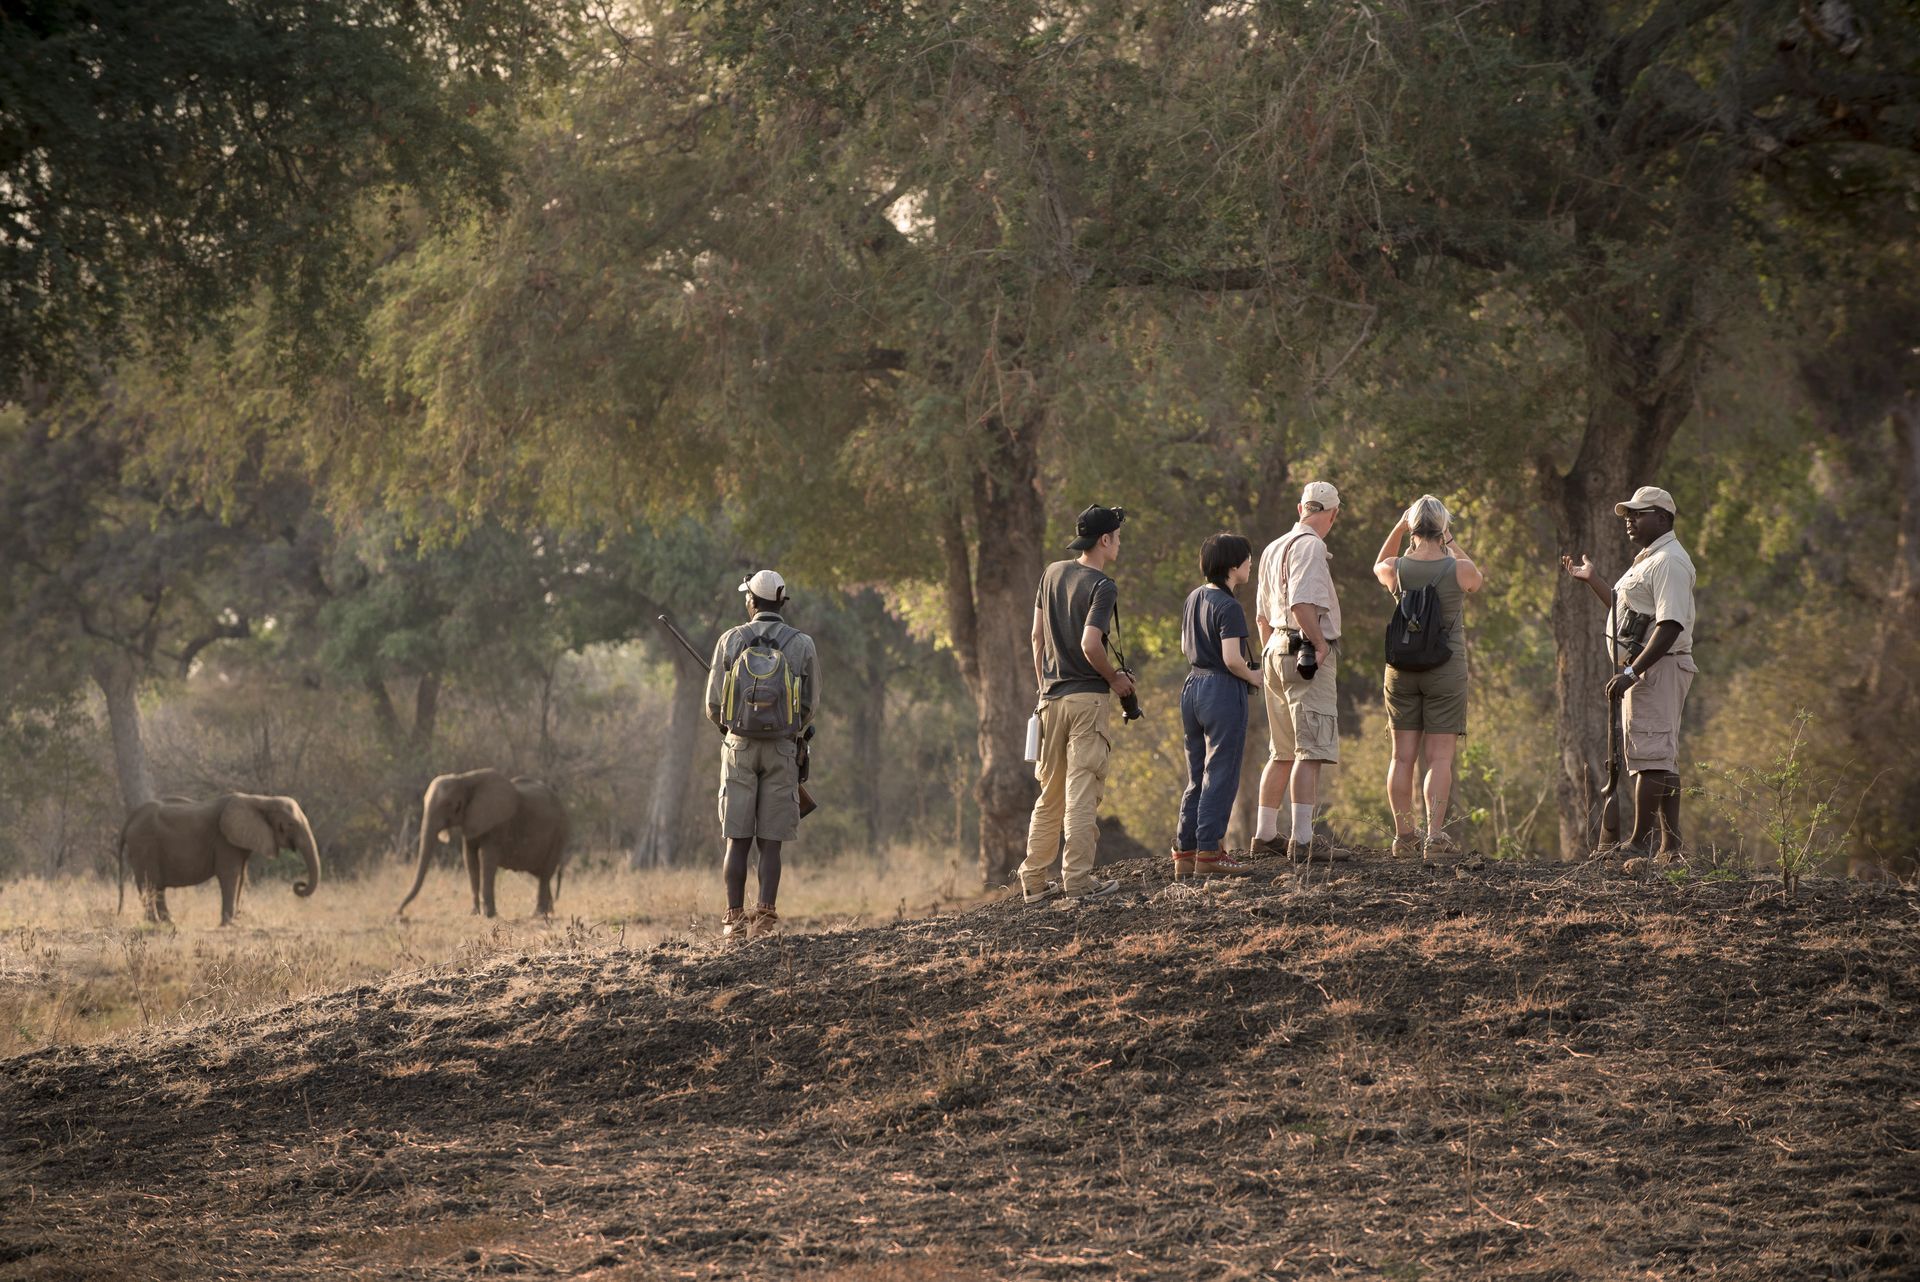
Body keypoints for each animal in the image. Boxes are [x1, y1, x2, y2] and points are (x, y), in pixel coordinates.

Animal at [118, 794, 322, 925]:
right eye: (290, 824)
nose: (299, 884)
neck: (261, 800)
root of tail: (131, 818)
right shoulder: (224, 840)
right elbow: (230, 874)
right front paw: (229, 923)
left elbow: (241, 876)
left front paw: (236, 920)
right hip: (144, 844)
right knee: (149, 883)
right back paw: (155, 922)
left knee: (156, 886)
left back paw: (168, 922)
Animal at [397, 770, 569, 918]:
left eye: (449, 805)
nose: (399, 913)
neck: (463, 779)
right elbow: (469, 859)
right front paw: (474, 914)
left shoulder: (497, 824)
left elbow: (487, 860)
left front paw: (489, 915)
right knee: (541, 875)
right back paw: (548, 912)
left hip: (559, 832)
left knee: (545, 874)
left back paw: (538, 915)